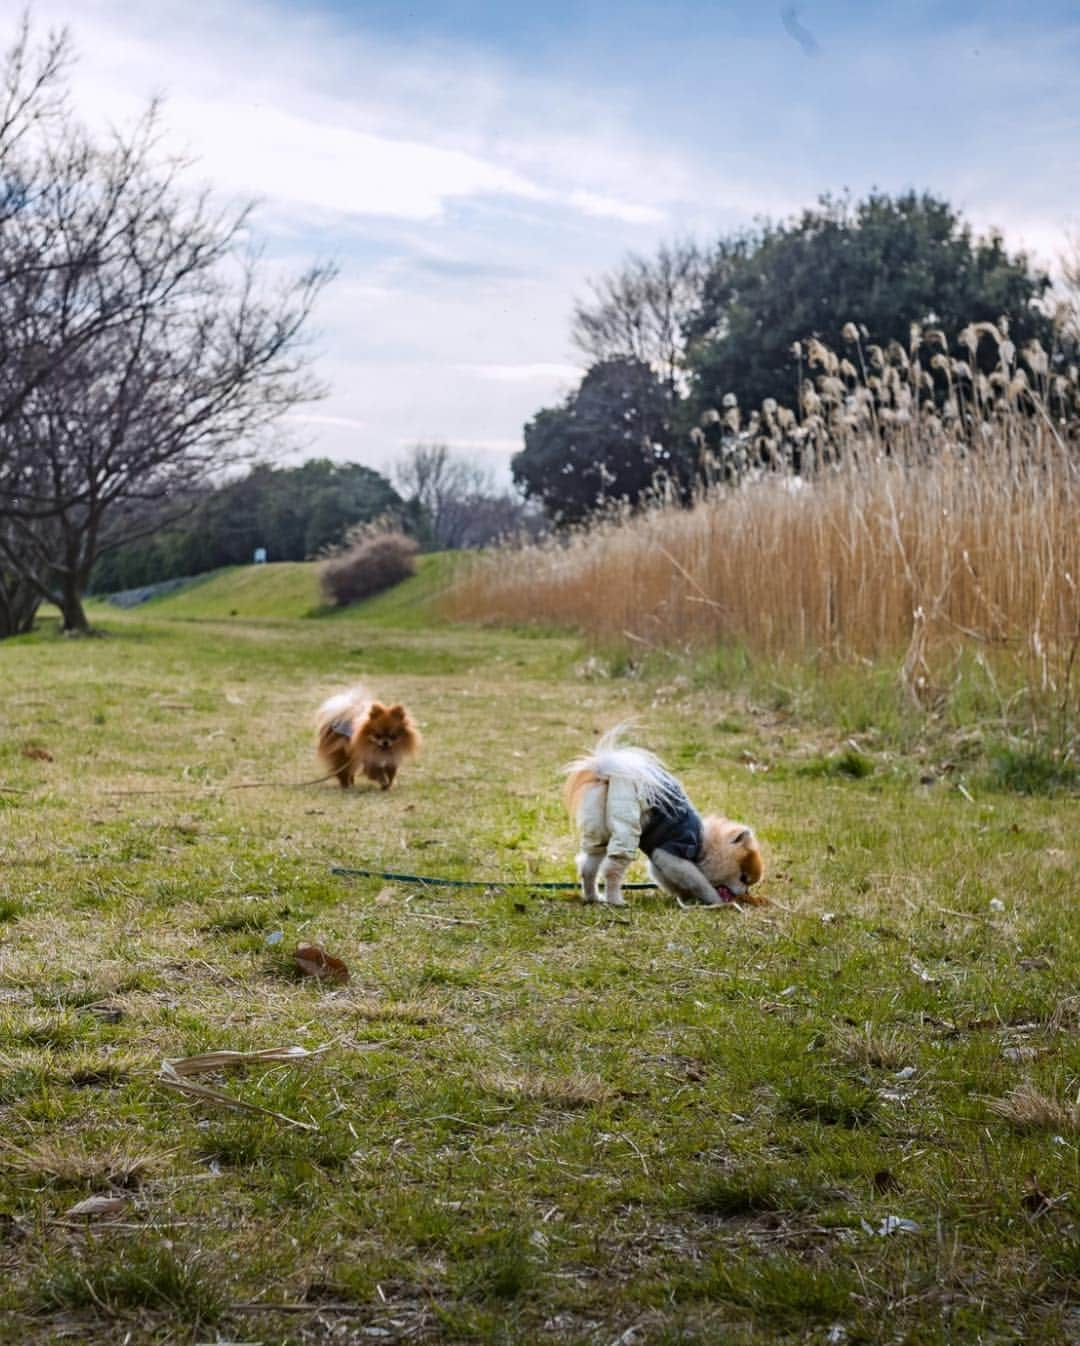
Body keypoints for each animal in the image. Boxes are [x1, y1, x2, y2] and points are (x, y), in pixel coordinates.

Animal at [560, 732, 759, 909]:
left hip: (599, 828)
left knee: (588, 865)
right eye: (743, 878)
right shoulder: (672, 853)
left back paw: (593, 897)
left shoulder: (659, 861)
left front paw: (687, 897)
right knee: (612, 869)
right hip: (626, 825)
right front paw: (714, 899)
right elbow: (698, 881)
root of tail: (609, 772)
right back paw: (616, 900)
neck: (704, 842)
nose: (745, 892)